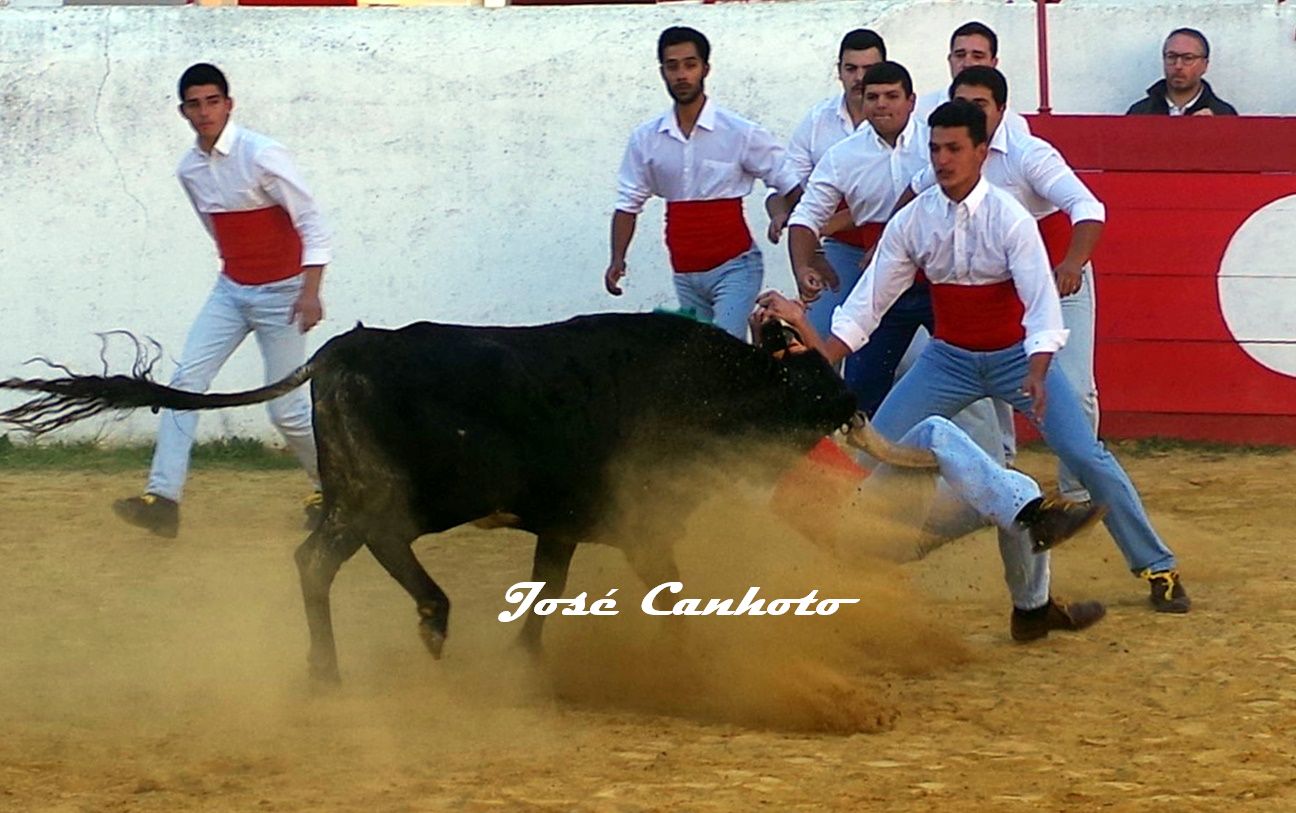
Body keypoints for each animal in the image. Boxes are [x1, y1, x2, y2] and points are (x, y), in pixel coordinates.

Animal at [1, 312, 923, 682]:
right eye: (813, 378)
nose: (854, 402)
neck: (700, 386)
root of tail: (336, 353)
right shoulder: (639, 526)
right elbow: (670, 596)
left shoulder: (563, 526)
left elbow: (547, 592)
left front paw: (524, 660)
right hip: (393, 496)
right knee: (340, 553)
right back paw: (421, 627)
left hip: (366, 493)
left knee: (317, 556)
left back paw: (339, 660)